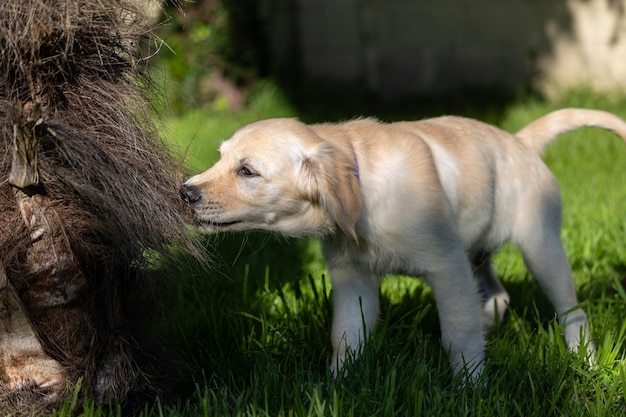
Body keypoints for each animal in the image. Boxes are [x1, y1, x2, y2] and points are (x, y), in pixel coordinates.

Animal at [179, 109, 624, 382]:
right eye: (221, 158)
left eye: (247, 171)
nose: (184, 193)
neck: (364, 190)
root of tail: (520, 142)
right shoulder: (352, 278)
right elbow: (345, 335)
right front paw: (336, 385)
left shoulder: (447, 266)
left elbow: (457, 332)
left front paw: (470, 387)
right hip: (477, 254)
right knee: (498, 295)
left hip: (540, 245)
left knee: (572, 312)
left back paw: (583, 359)